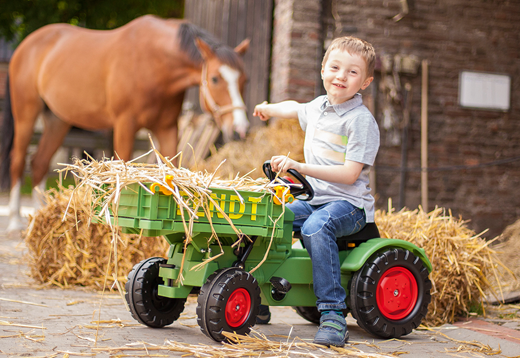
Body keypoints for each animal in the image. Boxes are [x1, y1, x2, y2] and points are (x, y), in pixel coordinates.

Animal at [0, 14, 250, 229]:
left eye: (244, 80)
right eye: (215, 79)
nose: (240, 129)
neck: (155, 62)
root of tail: (26, 45)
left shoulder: (167, 129)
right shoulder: (124, 125)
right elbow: (124, 168)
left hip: (57, 120)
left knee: (39, 163)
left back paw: (38, 216)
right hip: (26, 115)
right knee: (18, 161)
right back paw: (14, 221)